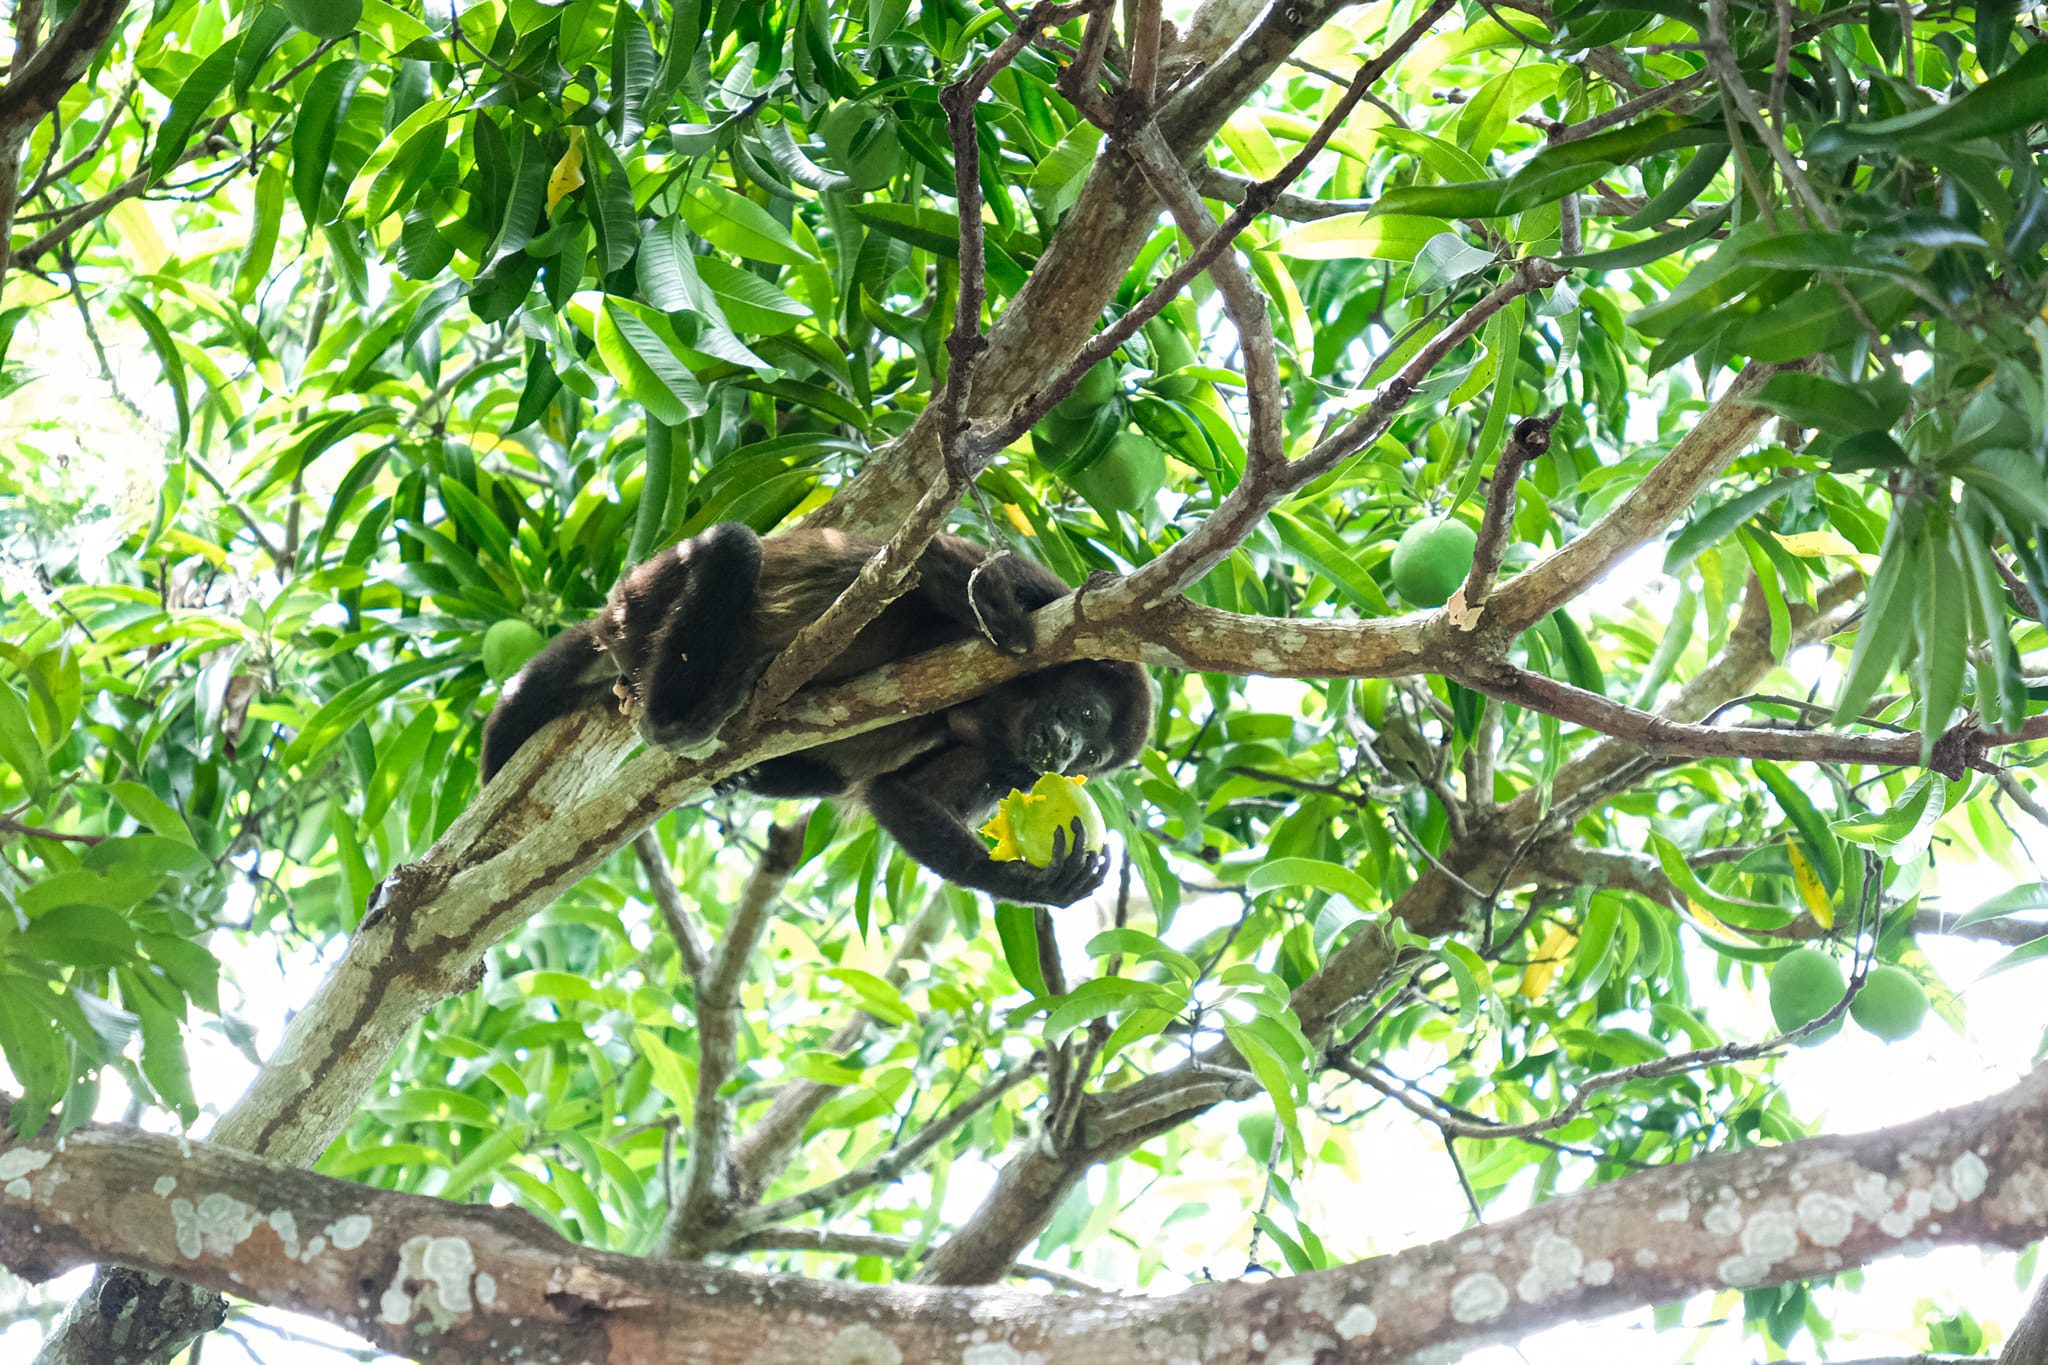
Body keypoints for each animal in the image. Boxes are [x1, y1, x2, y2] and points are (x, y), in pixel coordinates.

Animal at [480, 523, 1153, 906]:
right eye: (1086, 713)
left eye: (1094, 755)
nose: (1066, 753)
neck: (1005, 708)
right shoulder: (1042, 588)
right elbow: (931, 559)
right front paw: (1007, 628)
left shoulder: (1007, 764)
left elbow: (896, 793)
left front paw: (1036, 886)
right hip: (641, 600)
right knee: (734, 545)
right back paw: (684, 716)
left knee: (838, 773)